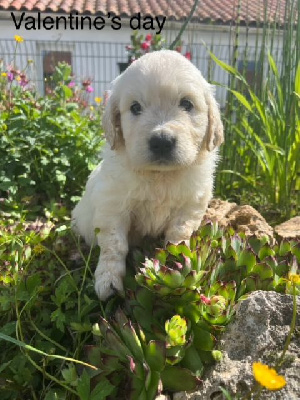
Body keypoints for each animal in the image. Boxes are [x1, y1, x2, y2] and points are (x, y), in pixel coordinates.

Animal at [71, 50, 224, 300]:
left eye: (186, 104)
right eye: (135, 107)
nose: (161, 141)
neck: (159, 177)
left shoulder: (190, 205)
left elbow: (179, 235)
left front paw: (177, 262)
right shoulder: (112, 207)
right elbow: (114, 245)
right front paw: (108, 281)